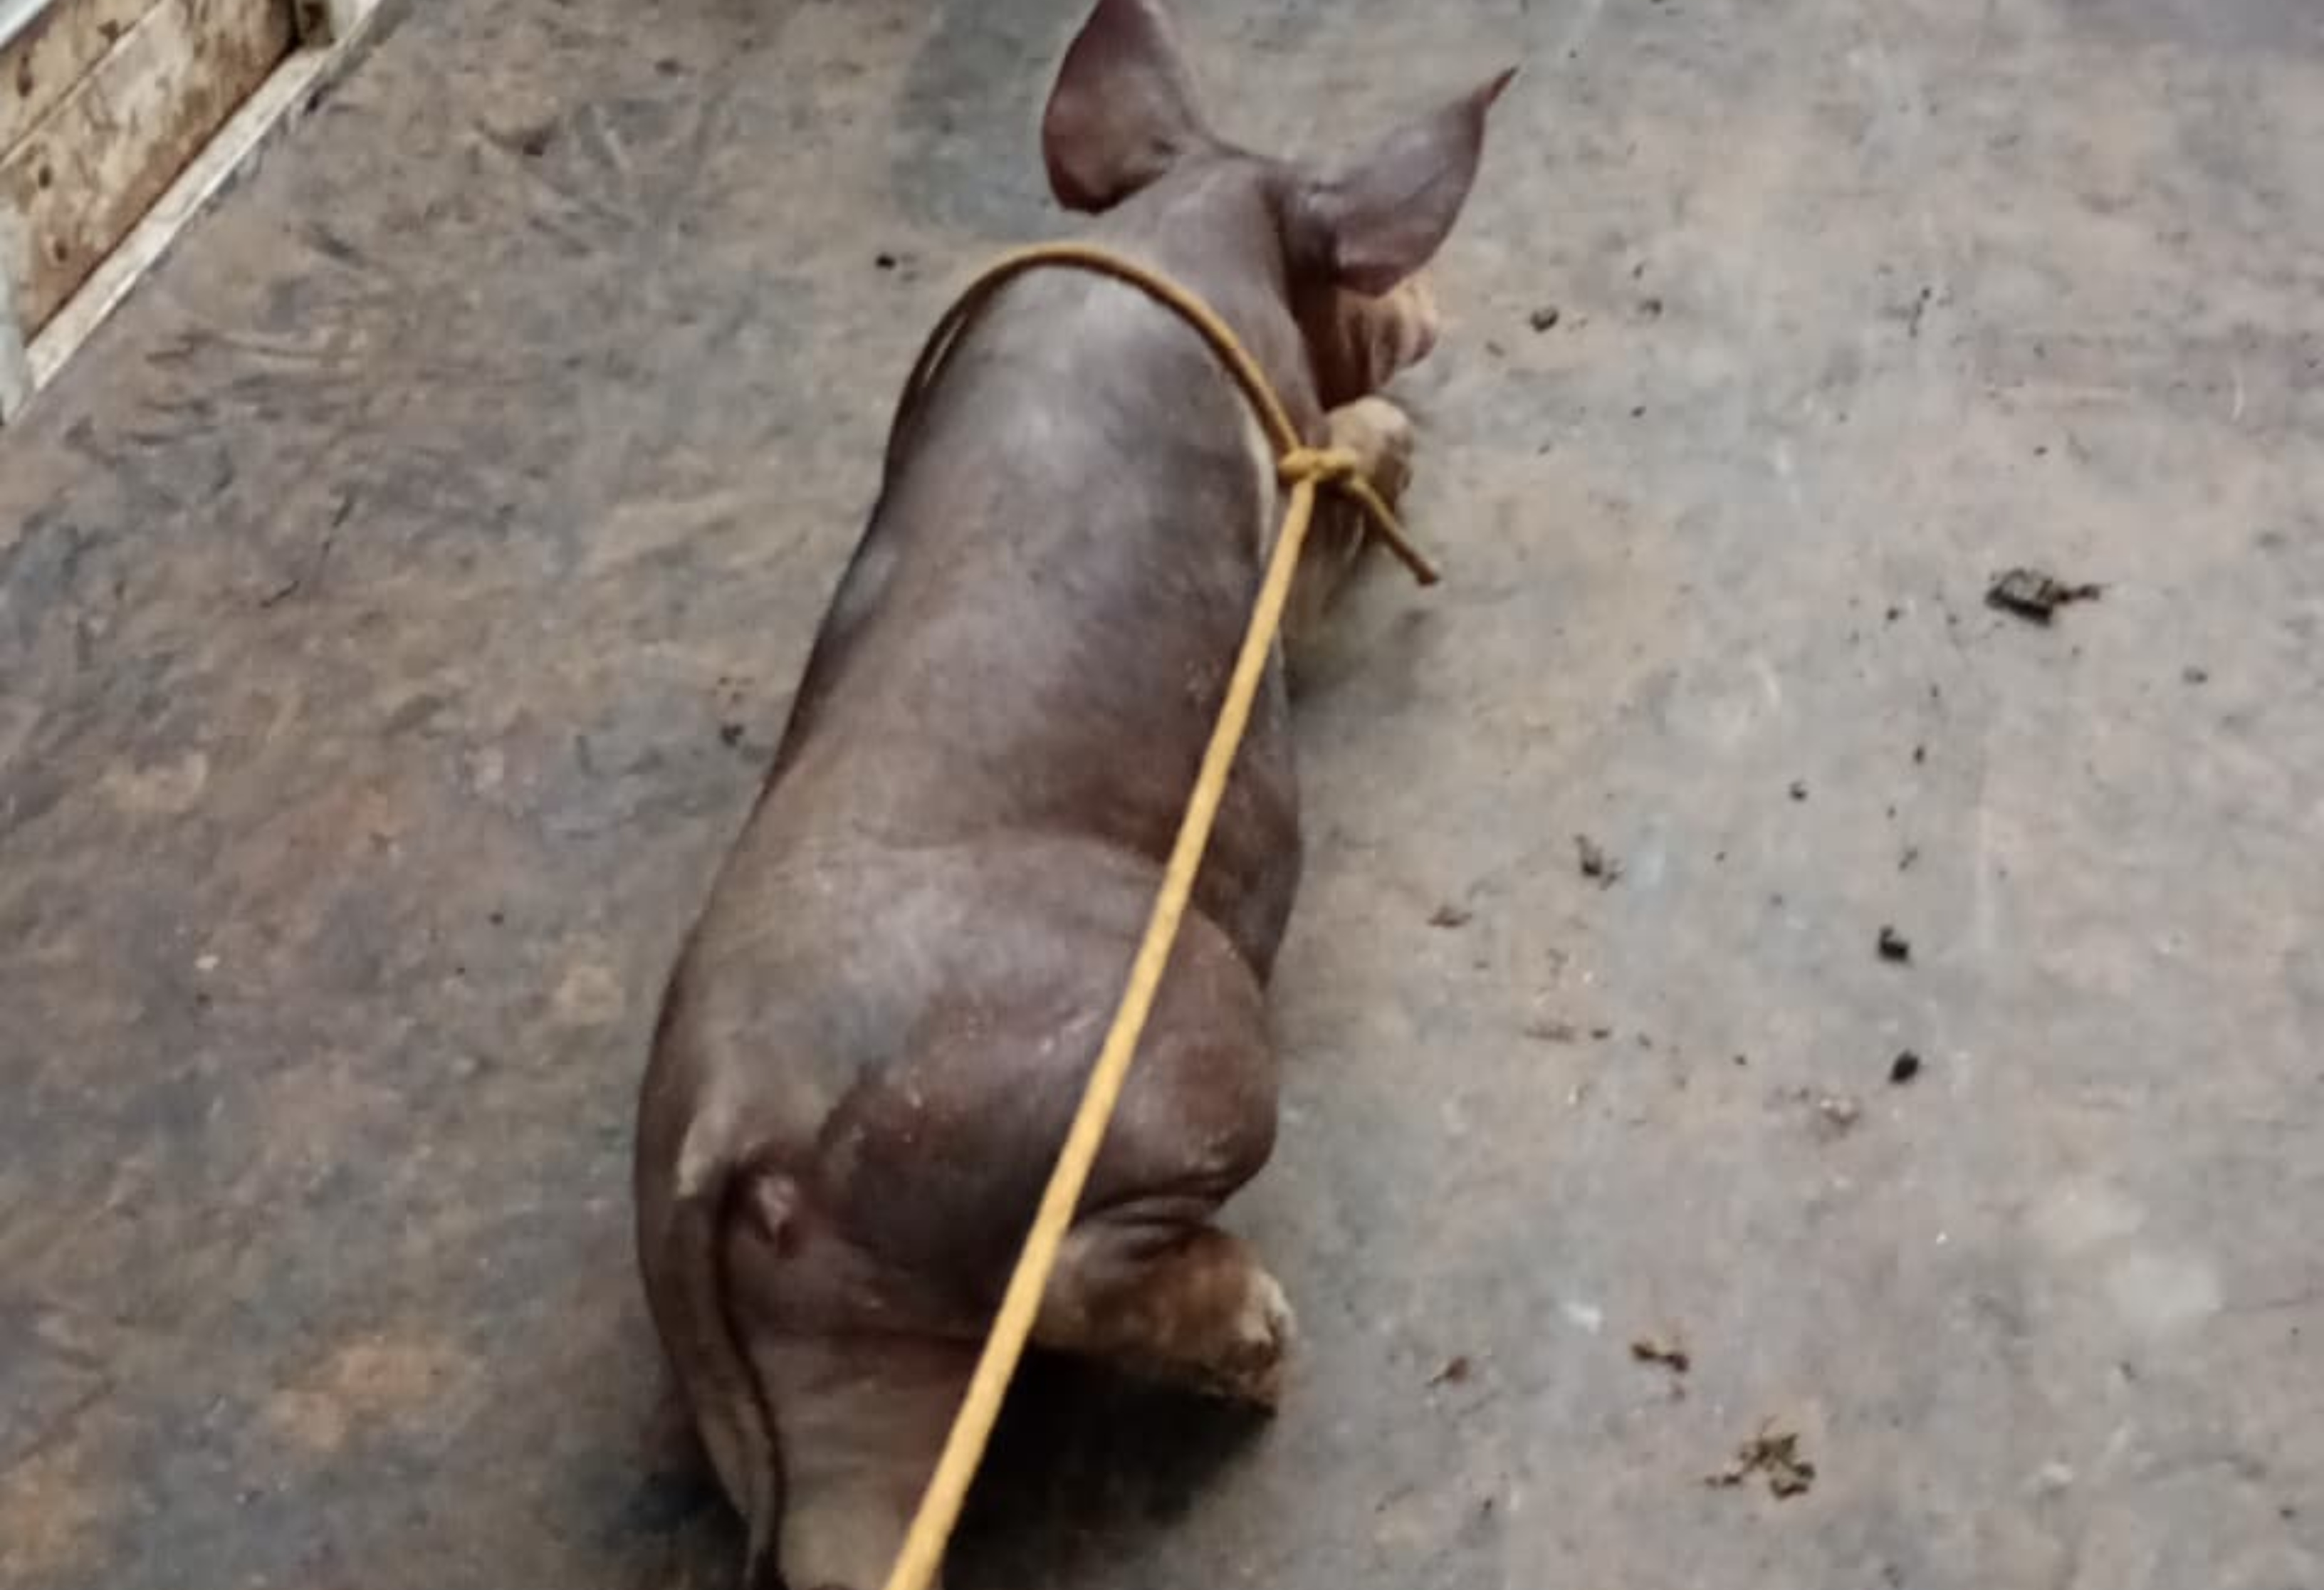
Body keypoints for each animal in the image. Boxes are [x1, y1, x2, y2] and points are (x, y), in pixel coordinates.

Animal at [633, 3, 1509, 1586]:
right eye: (1364, 272)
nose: (1439, 308)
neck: (1185, 238)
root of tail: (741, 1105)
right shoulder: (1288, 514)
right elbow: (1353, 487)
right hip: (1179, 1045)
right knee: (1077, 1275)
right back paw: (1266, 1339)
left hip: (808, 1377)